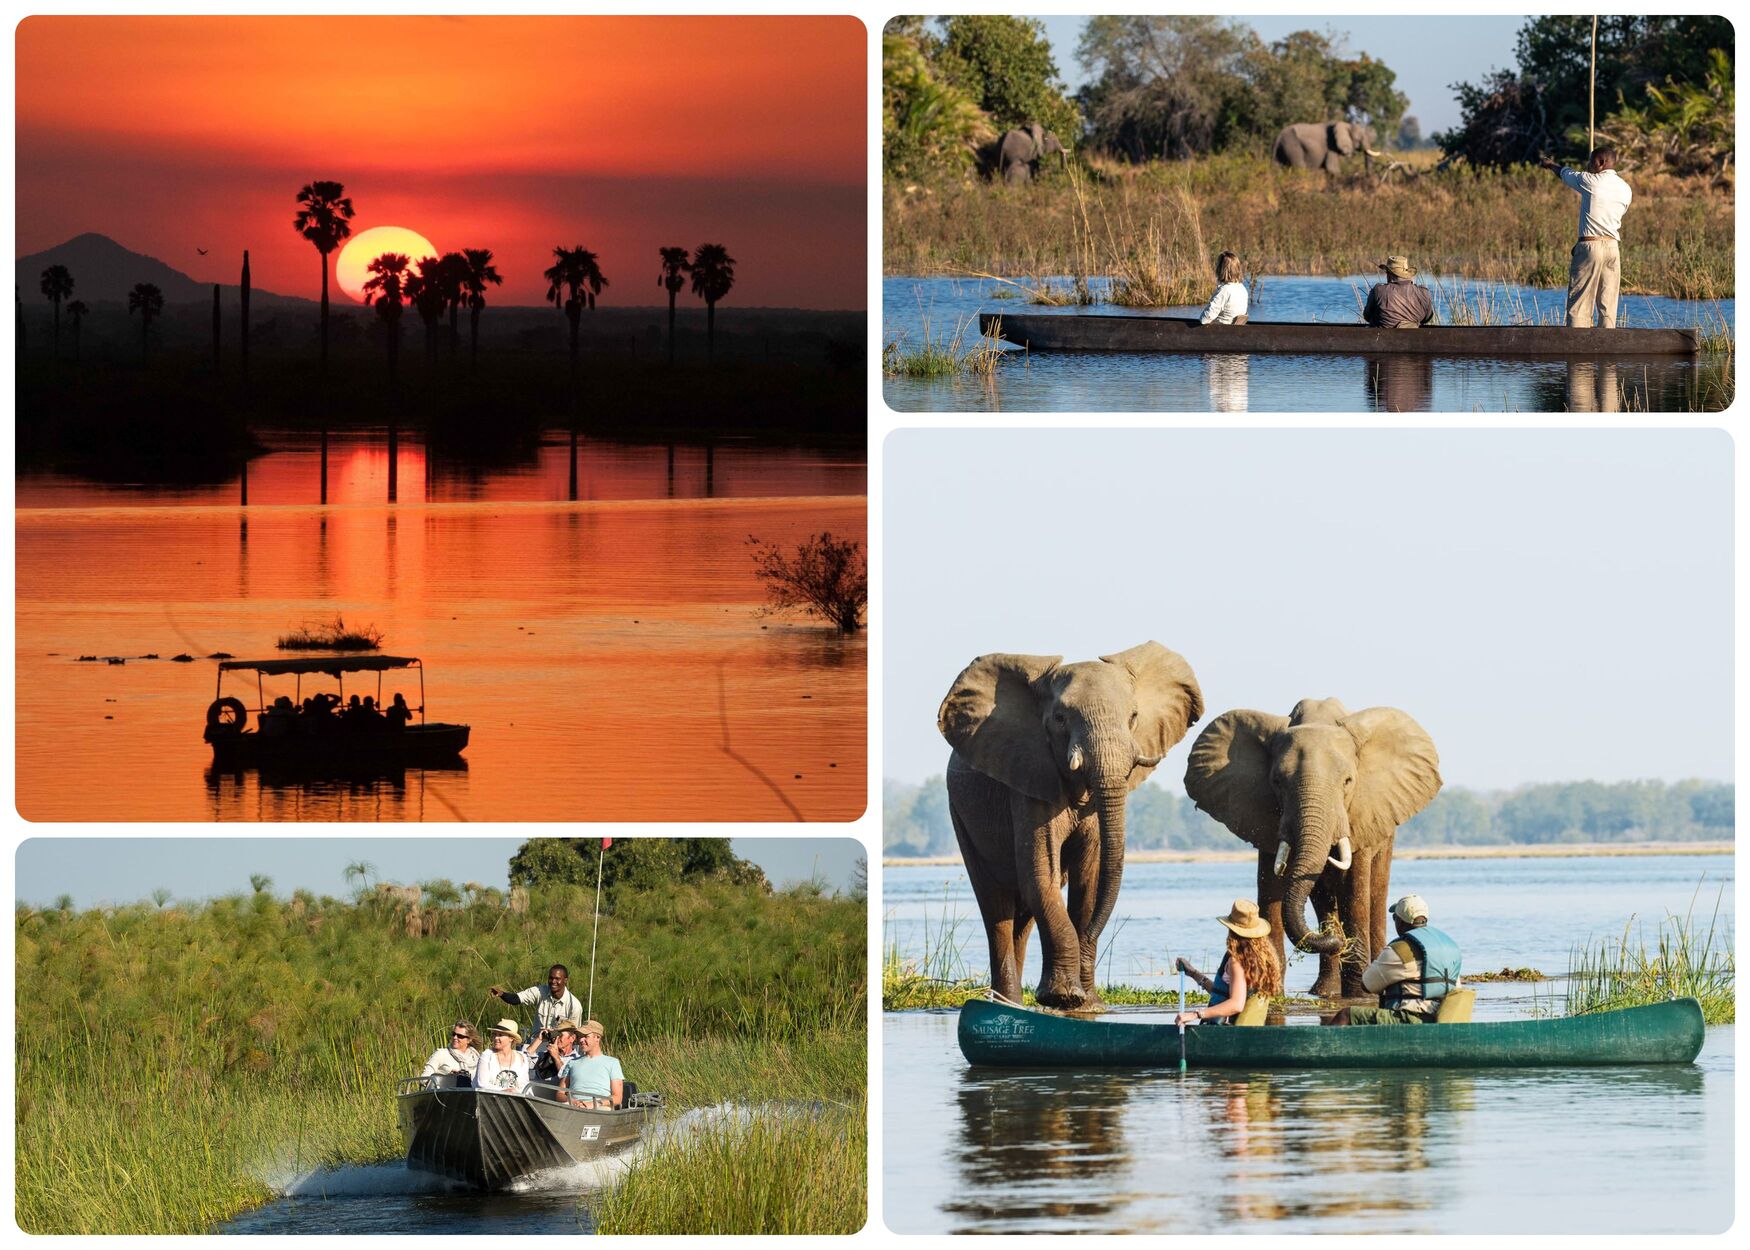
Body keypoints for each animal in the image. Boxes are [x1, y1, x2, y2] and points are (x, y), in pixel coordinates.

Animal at [945, 637, 1204, 1008]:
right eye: (1059, 718)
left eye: (1133, 717)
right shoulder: (1029, 781)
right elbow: (1042, 875)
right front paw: (1064, 998)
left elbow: (1088, 882)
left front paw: (1089, 1004)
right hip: (961, 815)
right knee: (997, 905)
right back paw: (1008, 1003)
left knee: (1022, 914)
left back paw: (1016, 1004)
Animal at [1183, 696, 1442, 1001]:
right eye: (1277, 782)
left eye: (1348, 782)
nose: (1336, 941)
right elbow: (1270, 886)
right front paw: (1271, 993)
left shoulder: (1361, 813)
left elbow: (1355, 887)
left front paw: (1360, 996)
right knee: (1323, 899)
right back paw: (1325, 991)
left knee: (1376, 891)